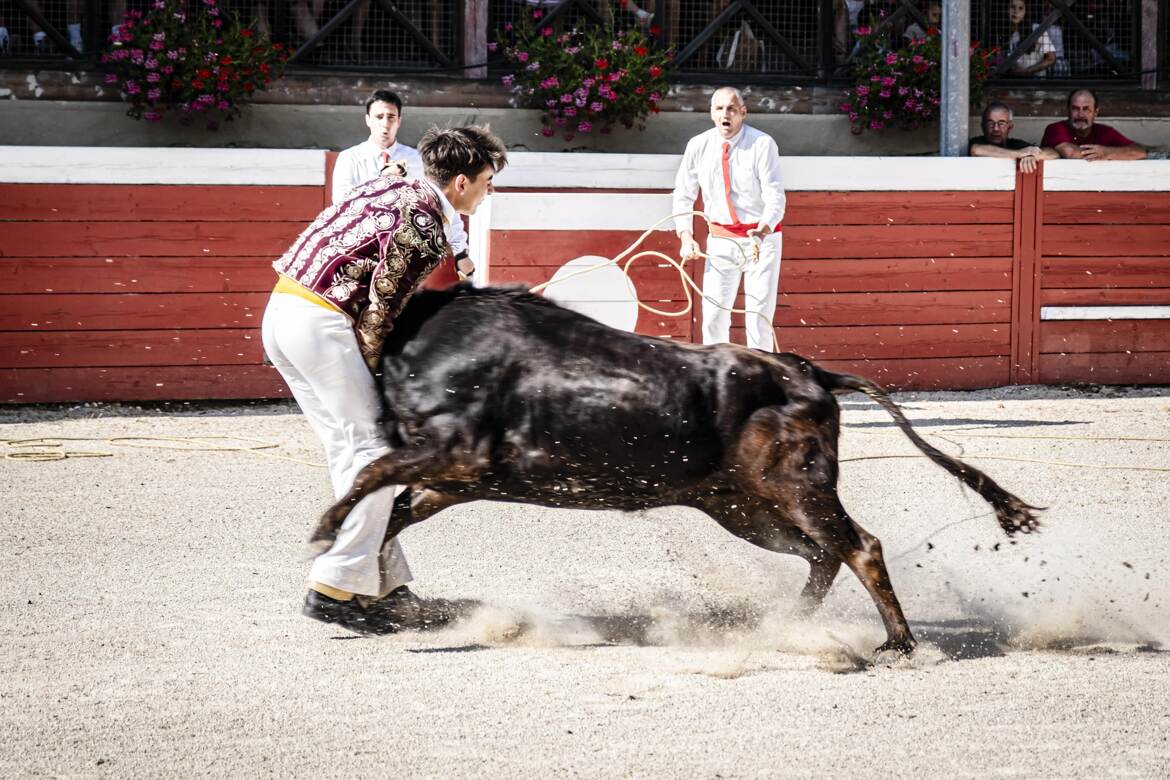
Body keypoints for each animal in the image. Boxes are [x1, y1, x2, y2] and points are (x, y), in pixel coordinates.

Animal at [313, 285, 1043, 654]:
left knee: (858, 545)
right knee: (821, 554)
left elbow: (369, 478)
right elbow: (392, 507)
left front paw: (325, 536)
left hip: (796, 487)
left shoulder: (456, 454)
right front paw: (362, 590)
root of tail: (809, 371)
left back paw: (897, 641)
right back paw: (787, 625)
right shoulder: (454, 478)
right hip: (740, 506)